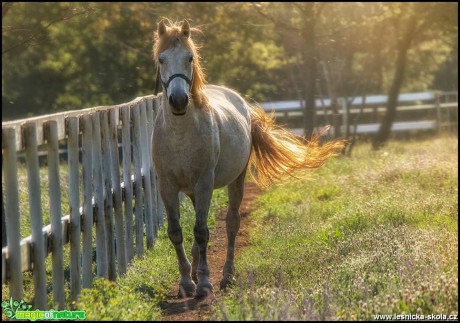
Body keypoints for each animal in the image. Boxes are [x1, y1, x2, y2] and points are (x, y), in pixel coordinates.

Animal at [151, 19, 344, 300]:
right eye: (161, 59)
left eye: (190, 58)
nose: (178, 100)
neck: (180, 133)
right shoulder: (167, 185)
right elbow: (176, 232)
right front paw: (187, 282)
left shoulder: (205, 182)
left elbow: (201, 231)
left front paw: (205, 283)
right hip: (192, 190)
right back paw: (196, 273)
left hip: (235, 180)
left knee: (231, 223)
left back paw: (226, 276)